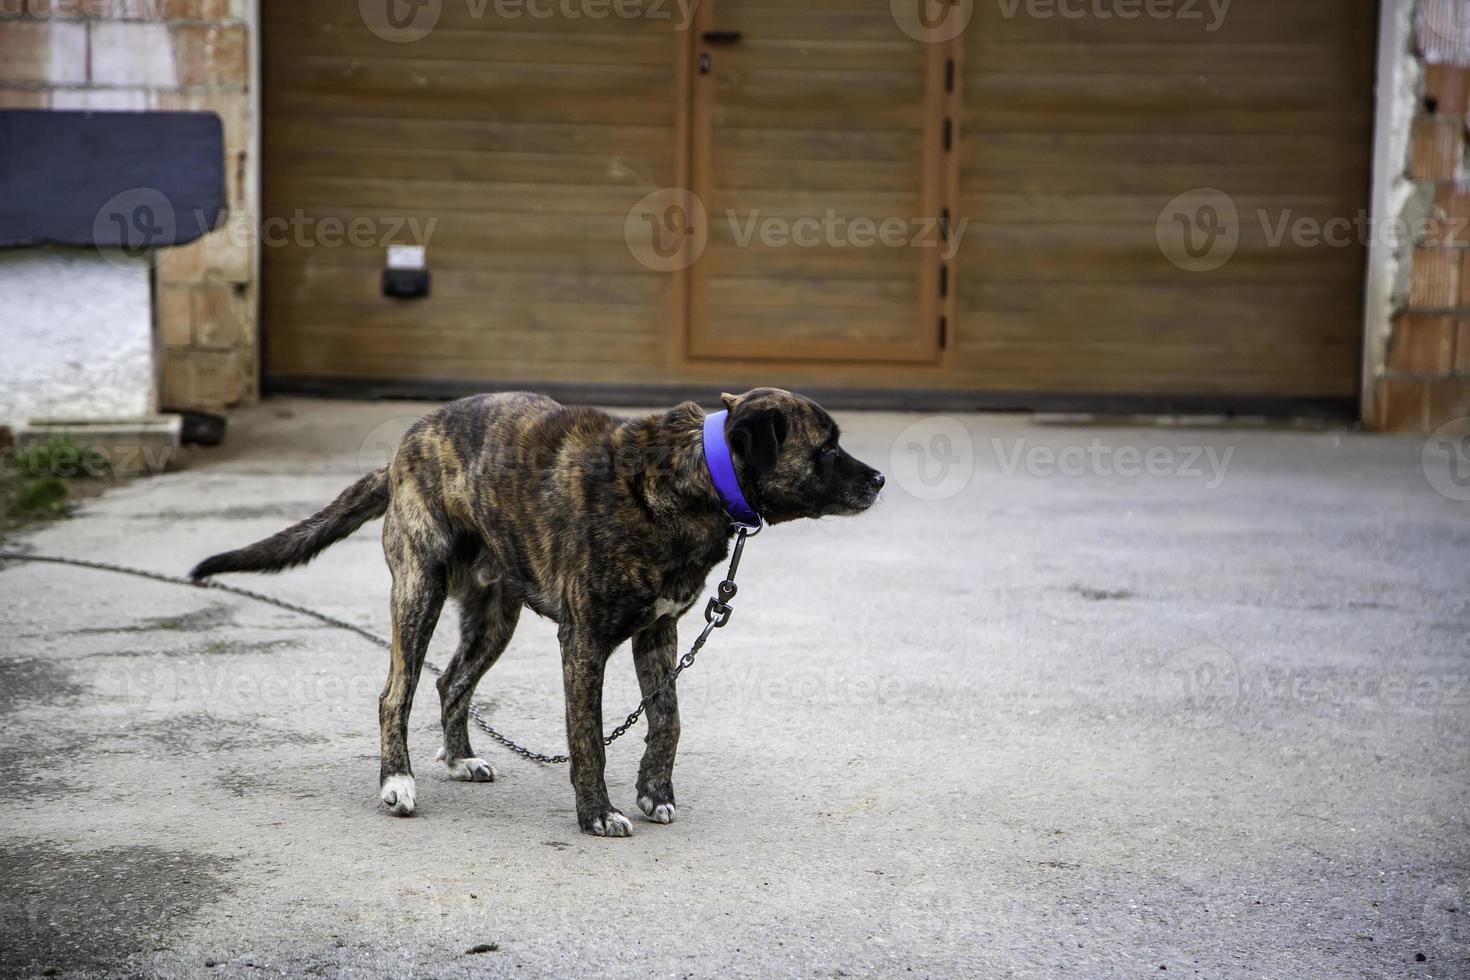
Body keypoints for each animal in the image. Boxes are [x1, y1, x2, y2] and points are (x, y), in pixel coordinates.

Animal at [195, 387, 882, 834]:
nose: (878, 480)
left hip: (495, 617)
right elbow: (588, 739)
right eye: (826, 448)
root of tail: (403, 450)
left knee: (452, 682)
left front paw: (653, 792)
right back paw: (398, 783)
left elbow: (668, 721)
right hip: (419, 589)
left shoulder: (658, 633)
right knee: (398, 693)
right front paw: (598, 813)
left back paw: (459, 758)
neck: (694, 475)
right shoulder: (583, 643)